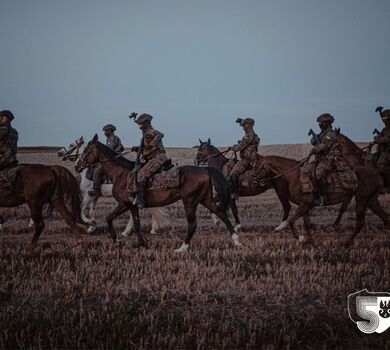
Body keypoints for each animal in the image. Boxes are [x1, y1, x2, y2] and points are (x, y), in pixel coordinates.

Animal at [74, 134, 242, 252]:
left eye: (86, 150)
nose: (77, 165)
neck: (121, 173)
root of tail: (205, 169)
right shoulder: (132, 205)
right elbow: (136, 223)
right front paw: (141, 244)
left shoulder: (124, 203)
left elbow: (109, 218)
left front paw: (116, 241)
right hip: (205, 199)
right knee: (222, 215)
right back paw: (236, 240)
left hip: (190, 201)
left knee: (193, 224)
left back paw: (182, 247)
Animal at [258, 154, 388, 247]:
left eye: (258, 166)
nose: (256, 180)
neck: (295, 177)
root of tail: (376, 172)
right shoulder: (305, 205)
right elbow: (307, 224)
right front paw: (310, 241)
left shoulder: (305, 205)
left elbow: (291, 221)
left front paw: (300, 238)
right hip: (371, 201)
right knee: (385, 217)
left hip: (361, 199)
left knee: (360, 222)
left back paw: (346, 243)